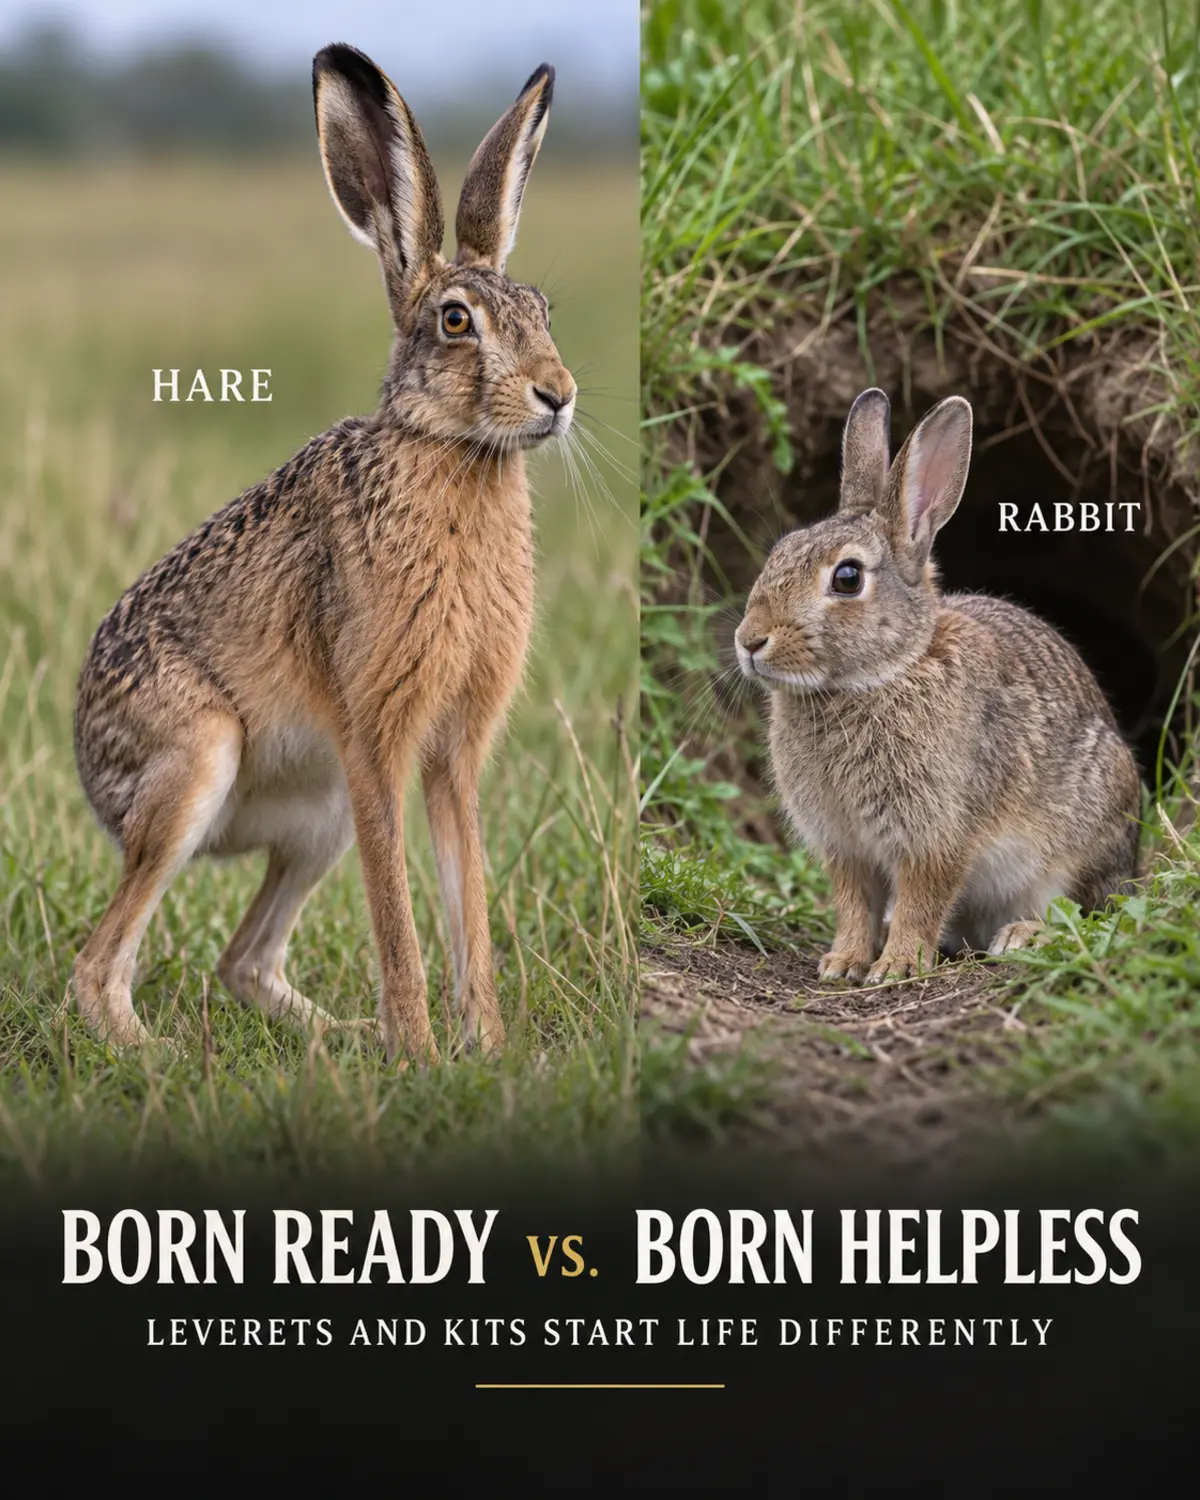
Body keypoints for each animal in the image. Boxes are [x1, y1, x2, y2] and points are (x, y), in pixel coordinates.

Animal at [70, 43, 576, 1063]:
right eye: (456, 321)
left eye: (543, 308)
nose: (559, 395)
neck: (450, 451)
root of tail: (85, 762)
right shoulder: (373, 728)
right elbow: (398, 915)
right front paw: (424, 1055)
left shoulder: (451, 748)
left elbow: (468, 903)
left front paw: (485, 1048)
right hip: (196, 762)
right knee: (97, 970)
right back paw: (166, 1058)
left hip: (318, 815)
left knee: (245, 961)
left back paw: (340, 1039)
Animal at [733, 387, 1141, 987]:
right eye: (781, 550)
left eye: (847, 578)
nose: (750, 640)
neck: (882, 673)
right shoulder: (844, 846)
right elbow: (854, 904)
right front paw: (843, 963)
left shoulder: (937, 834)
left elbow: (922, 899)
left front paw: (897, 965)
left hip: (1078, 842)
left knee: (1082, 911)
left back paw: (1022, 935)